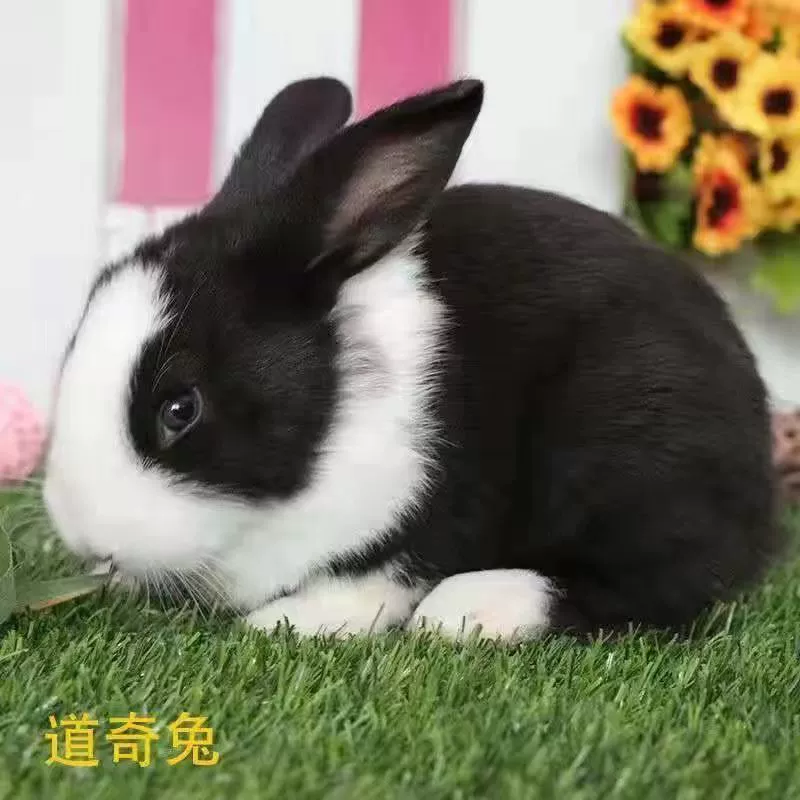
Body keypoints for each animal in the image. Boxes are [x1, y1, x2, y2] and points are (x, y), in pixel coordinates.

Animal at [43, 76, 783, 641]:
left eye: (180, 408)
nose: (85, 539)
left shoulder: (429, 507)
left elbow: (380, 578)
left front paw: (286, 623)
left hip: (629, 452)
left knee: (664, 580)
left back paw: (472, 610)